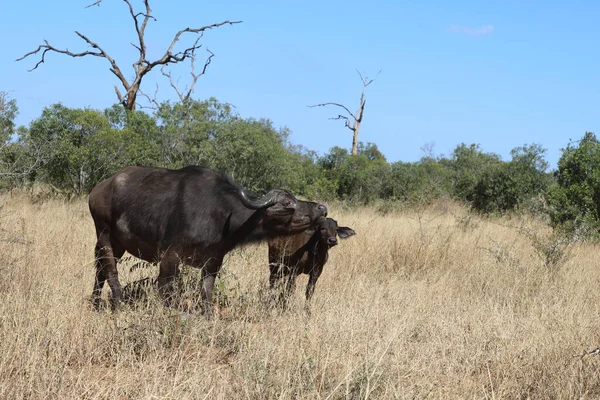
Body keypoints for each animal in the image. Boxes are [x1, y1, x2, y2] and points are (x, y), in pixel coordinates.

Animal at [88, 165, 328, 312]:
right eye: (288, 204)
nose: (322, 208)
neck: (221, 215)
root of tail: (99, 189)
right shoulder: (170, 257)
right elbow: (166, 291)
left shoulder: (212, 263)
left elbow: (206, 293)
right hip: (104, 235)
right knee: (110, 271)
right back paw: (117, 303)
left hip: (117, 244)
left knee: (100, 270)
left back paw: (95, 303)